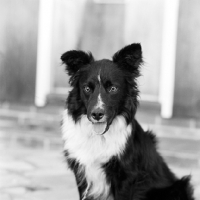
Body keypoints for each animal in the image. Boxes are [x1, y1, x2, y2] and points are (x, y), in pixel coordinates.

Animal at [60, 44, 194, 200]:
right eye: (87, 88)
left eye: (113, 88)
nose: (97, 114)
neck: (99, 137)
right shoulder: (82, 173)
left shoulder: (126, 176)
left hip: (177, 188)